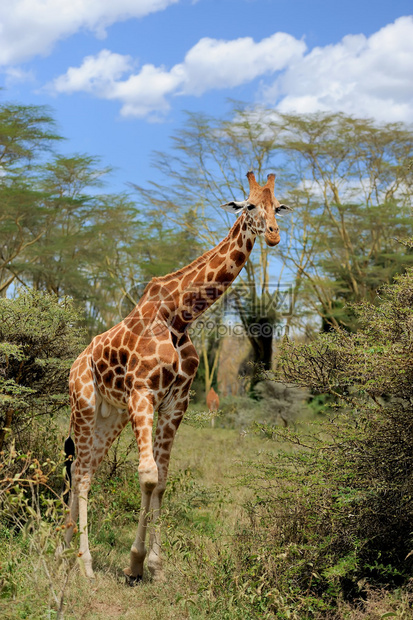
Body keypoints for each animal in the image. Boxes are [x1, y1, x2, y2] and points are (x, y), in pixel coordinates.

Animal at [64, 171, 290, 588]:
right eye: (250, 205)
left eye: (278, 206)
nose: (273, 234)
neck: (179, 316)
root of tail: (74, 365)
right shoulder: (143, 393)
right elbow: (148, 475)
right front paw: (135, 563)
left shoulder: (175, 402)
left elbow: (163, 479)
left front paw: (155, 566)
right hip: (84, 405)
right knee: (82, 474)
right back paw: (84, 564)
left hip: (110, 416)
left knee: (84, 469)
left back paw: (64, 548)